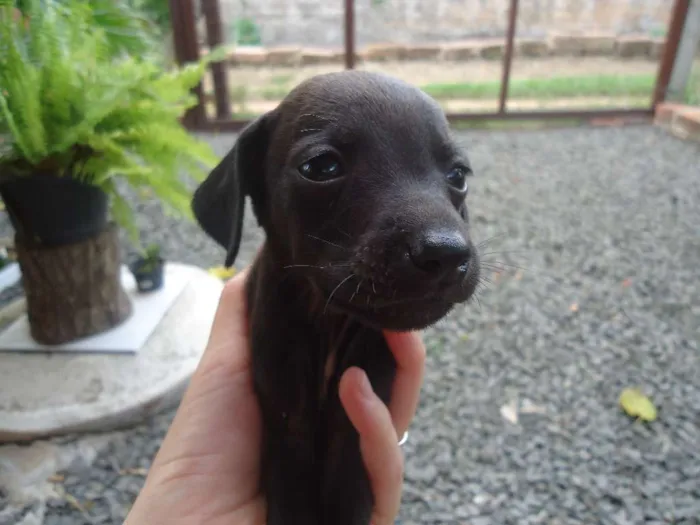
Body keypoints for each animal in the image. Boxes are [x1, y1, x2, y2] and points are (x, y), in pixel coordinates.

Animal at [189, 70, 478, 524]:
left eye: (458, 176)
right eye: (322, 166)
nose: (447, 253)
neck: (328, 321)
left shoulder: (365, 397)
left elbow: (348, 469)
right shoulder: (282, 399)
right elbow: (291, 476)